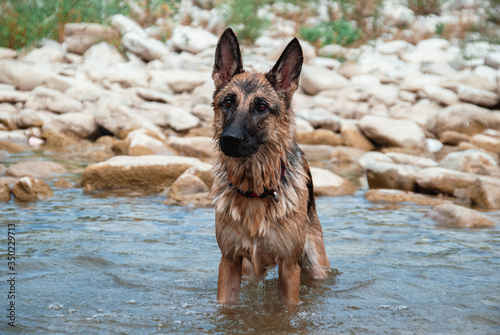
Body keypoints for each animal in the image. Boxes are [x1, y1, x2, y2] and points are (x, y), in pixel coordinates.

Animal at [212, 28, 332, 304]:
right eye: (228, 103)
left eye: (261, 107)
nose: (229, 140)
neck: (254, 189)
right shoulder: (229, 262)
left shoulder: (289, 268)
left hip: (315, 264)